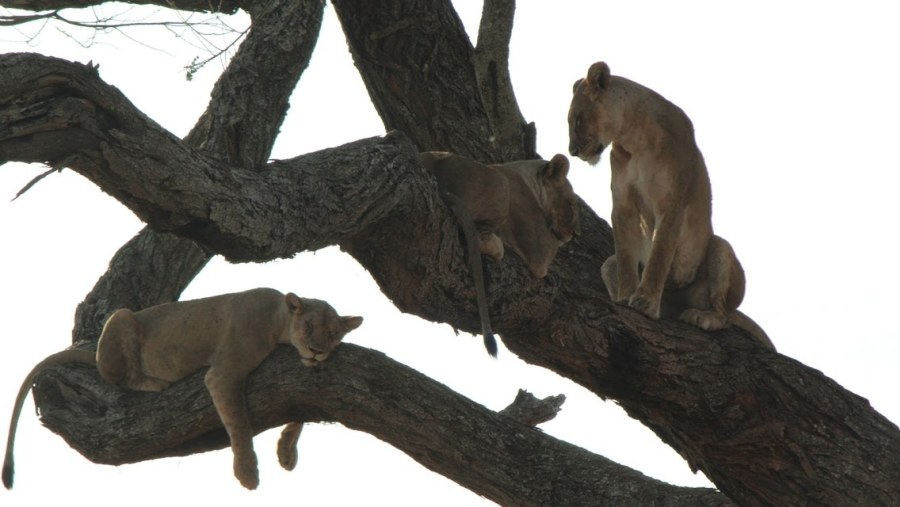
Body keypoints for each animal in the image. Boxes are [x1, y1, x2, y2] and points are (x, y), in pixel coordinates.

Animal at [4, 290, 362, 492]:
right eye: (309, 326)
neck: (278, 322)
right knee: (119, 377)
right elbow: (239, 425)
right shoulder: (223, 373)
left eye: (334, 334)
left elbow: (298, 409)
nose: (316, 351)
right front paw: (247, 474)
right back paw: (154, 381)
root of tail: (94, 355)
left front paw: (286, 452)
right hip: (122, 318)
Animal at [420, 152, 580, 358]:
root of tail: (441, 171)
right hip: (500, 185)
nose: (576, 235)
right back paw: (500, 247)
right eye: (571, 204)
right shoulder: (539, 251)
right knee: (480, 237)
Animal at [568, 61, 772, 352]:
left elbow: (660, 254)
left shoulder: (673, 204)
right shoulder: (623, 205)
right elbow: (627, 258)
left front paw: (644, 302)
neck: (633, 139)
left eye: (577, 119)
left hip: (719, 248)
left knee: (724, 314)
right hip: (608, 264)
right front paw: (626, 298)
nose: (572, 151)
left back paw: (702, 316)